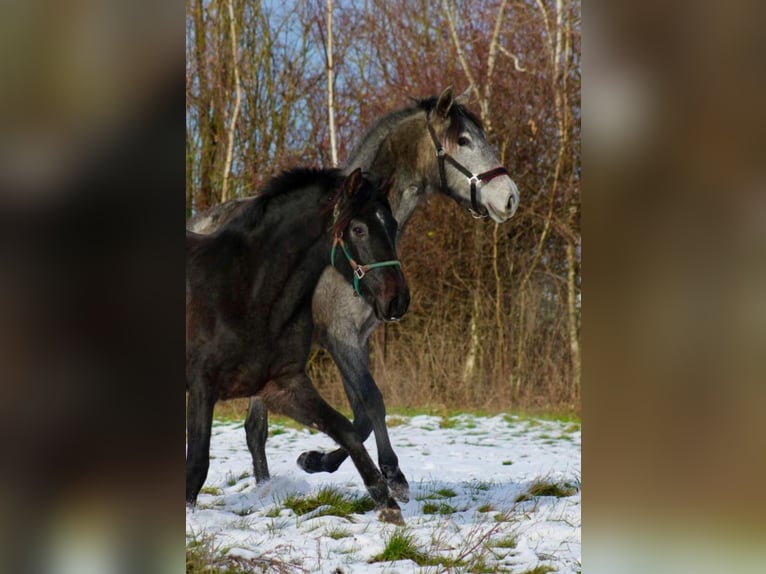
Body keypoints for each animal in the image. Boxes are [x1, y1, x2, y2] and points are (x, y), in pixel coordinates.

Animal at [187, 169, 412, 524]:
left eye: (391, 224)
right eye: (358, 229)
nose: (397, 300)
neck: (247, 292)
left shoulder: (283, 385)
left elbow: (345, 428)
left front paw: (386, 501)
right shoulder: (202, 386)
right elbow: (196, 465)